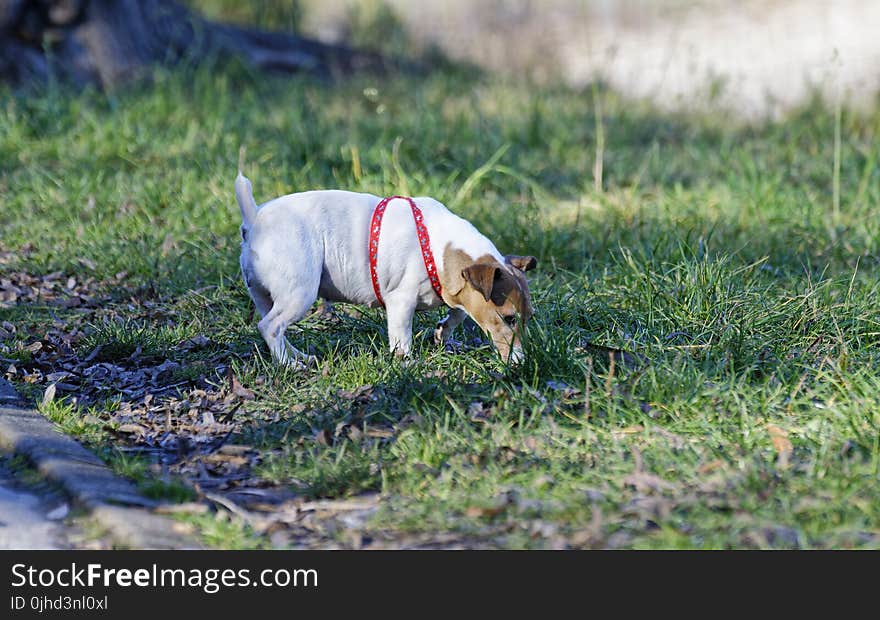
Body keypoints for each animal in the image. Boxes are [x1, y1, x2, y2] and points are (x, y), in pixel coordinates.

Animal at [234, 173, 536, 368]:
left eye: (528, 318)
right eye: (508, 318)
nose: (522, 363)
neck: (438, 247)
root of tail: (255, 218)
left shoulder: (458, 292)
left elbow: (458, 314)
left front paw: (442, 332)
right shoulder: (400, 301)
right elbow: (402, 338)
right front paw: (408, 363)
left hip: (267, 296)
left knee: (273, 326)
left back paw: (297, 356)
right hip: (300, 293)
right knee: (270, 327)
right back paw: (289, 364)